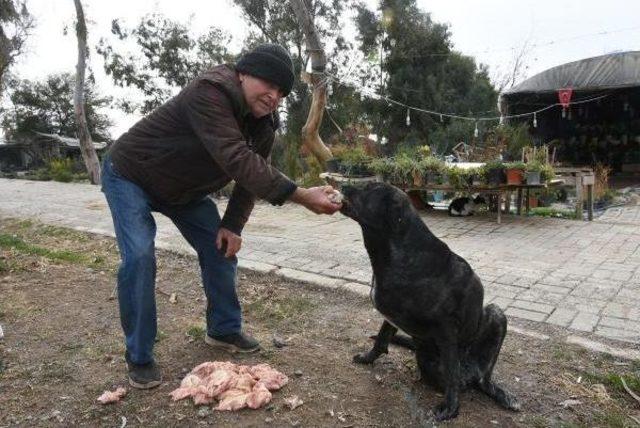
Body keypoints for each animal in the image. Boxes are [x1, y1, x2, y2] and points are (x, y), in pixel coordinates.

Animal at [342, 182, 516, 420]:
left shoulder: (446, 329)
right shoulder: (392, 316)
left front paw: (451, 408)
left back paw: (501, 394)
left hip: (496, 313)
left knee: (482, 378)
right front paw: (368, 358)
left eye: (369, 189)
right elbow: (381, 340)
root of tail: (470, 375)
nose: (341, 185)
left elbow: (451, 372)